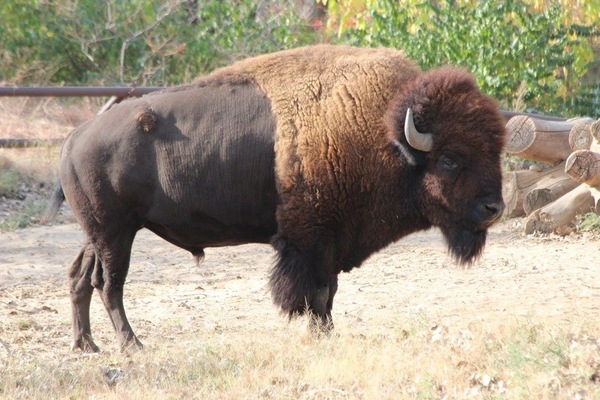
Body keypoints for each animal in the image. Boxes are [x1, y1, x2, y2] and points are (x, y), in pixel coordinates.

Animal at [43, 43, 506, 352]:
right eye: (450, 158)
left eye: (496, 149)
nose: (493, 208)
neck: (383, 133)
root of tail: (73, 139)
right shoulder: (311, 239)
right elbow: (317, 293)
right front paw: (321, 335)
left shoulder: (331, 240)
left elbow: (329, 292)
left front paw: (327, 333)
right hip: (116, 233)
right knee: (109, 284)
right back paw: (131, 345)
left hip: (99, 233)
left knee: (80, 277)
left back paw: (86, 345)